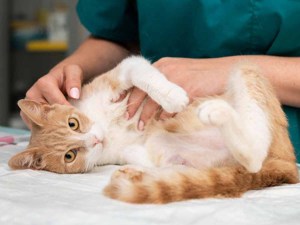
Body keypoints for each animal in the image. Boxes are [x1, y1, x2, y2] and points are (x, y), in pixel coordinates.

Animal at [8, 56, 298, 204]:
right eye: (70, 155)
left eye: (73, 123)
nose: (95, 139)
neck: (104, 126)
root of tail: (284, 162)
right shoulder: (133, 151)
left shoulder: (123, 71)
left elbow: (142, 74)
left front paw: (172, 96)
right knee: (248, 160)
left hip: (246, 68)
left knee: (255, 152)